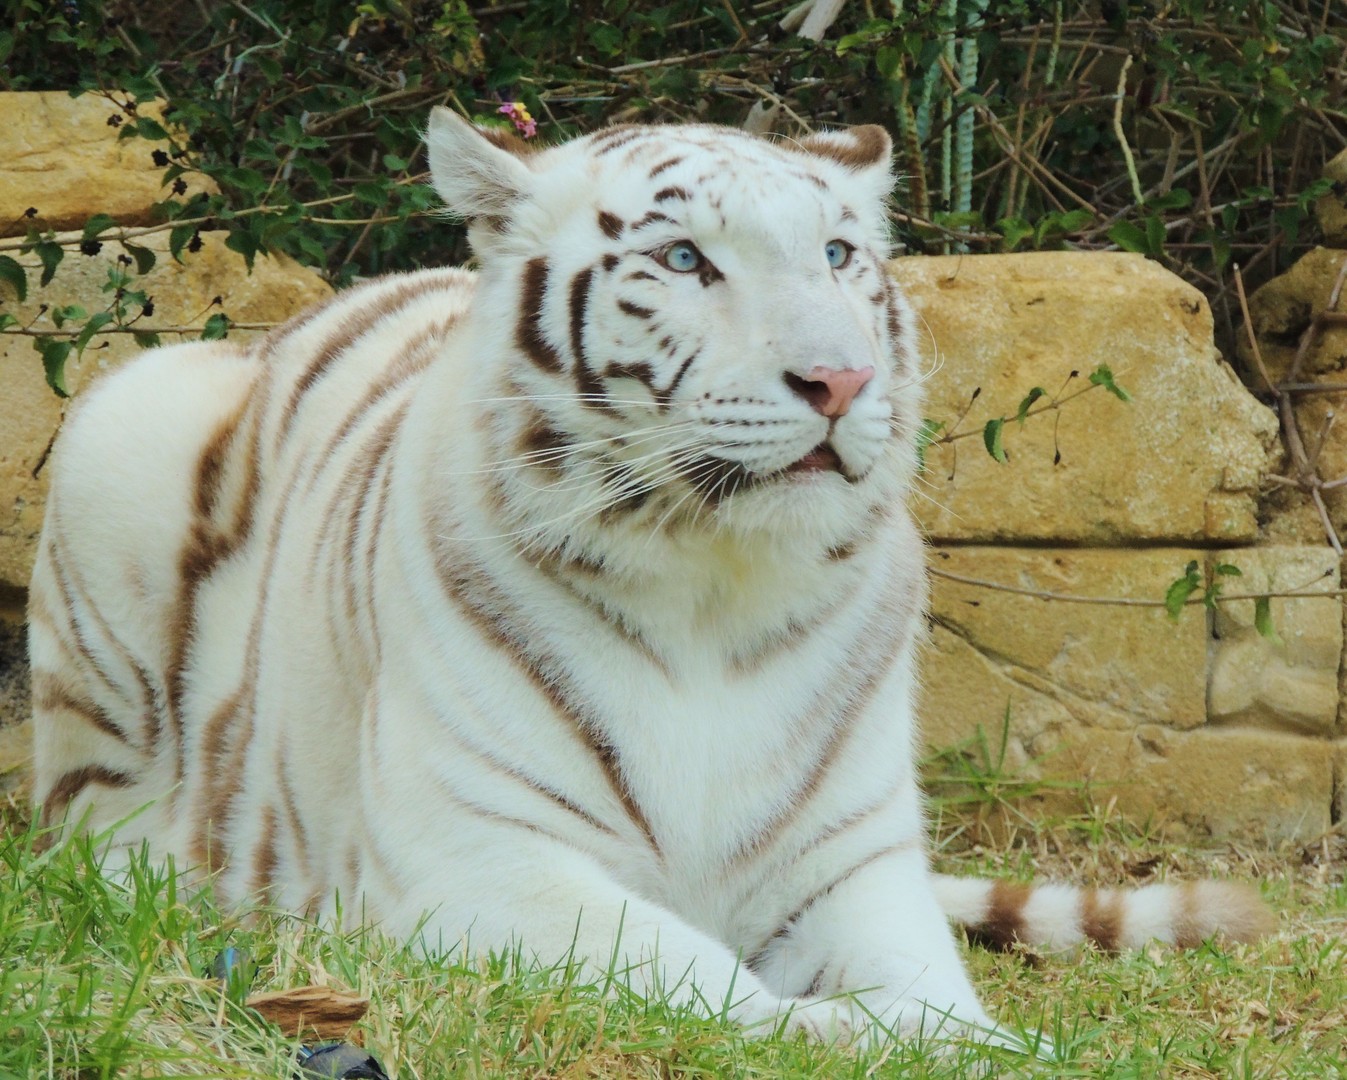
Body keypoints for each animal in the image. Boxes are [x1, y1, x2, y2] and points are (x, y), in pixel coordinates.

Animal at [28, 107, 1271, 1047]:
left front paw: (976, 1045)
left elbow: (937, 998)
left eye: (837, 257)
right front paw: (840, 1035)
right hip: (122, 430)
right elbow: (701, 979)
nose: (841, 380)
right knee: (79, 822)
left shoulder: (854, 866)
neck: (714, 585)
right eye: (684, 261)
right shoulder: (475, 856)